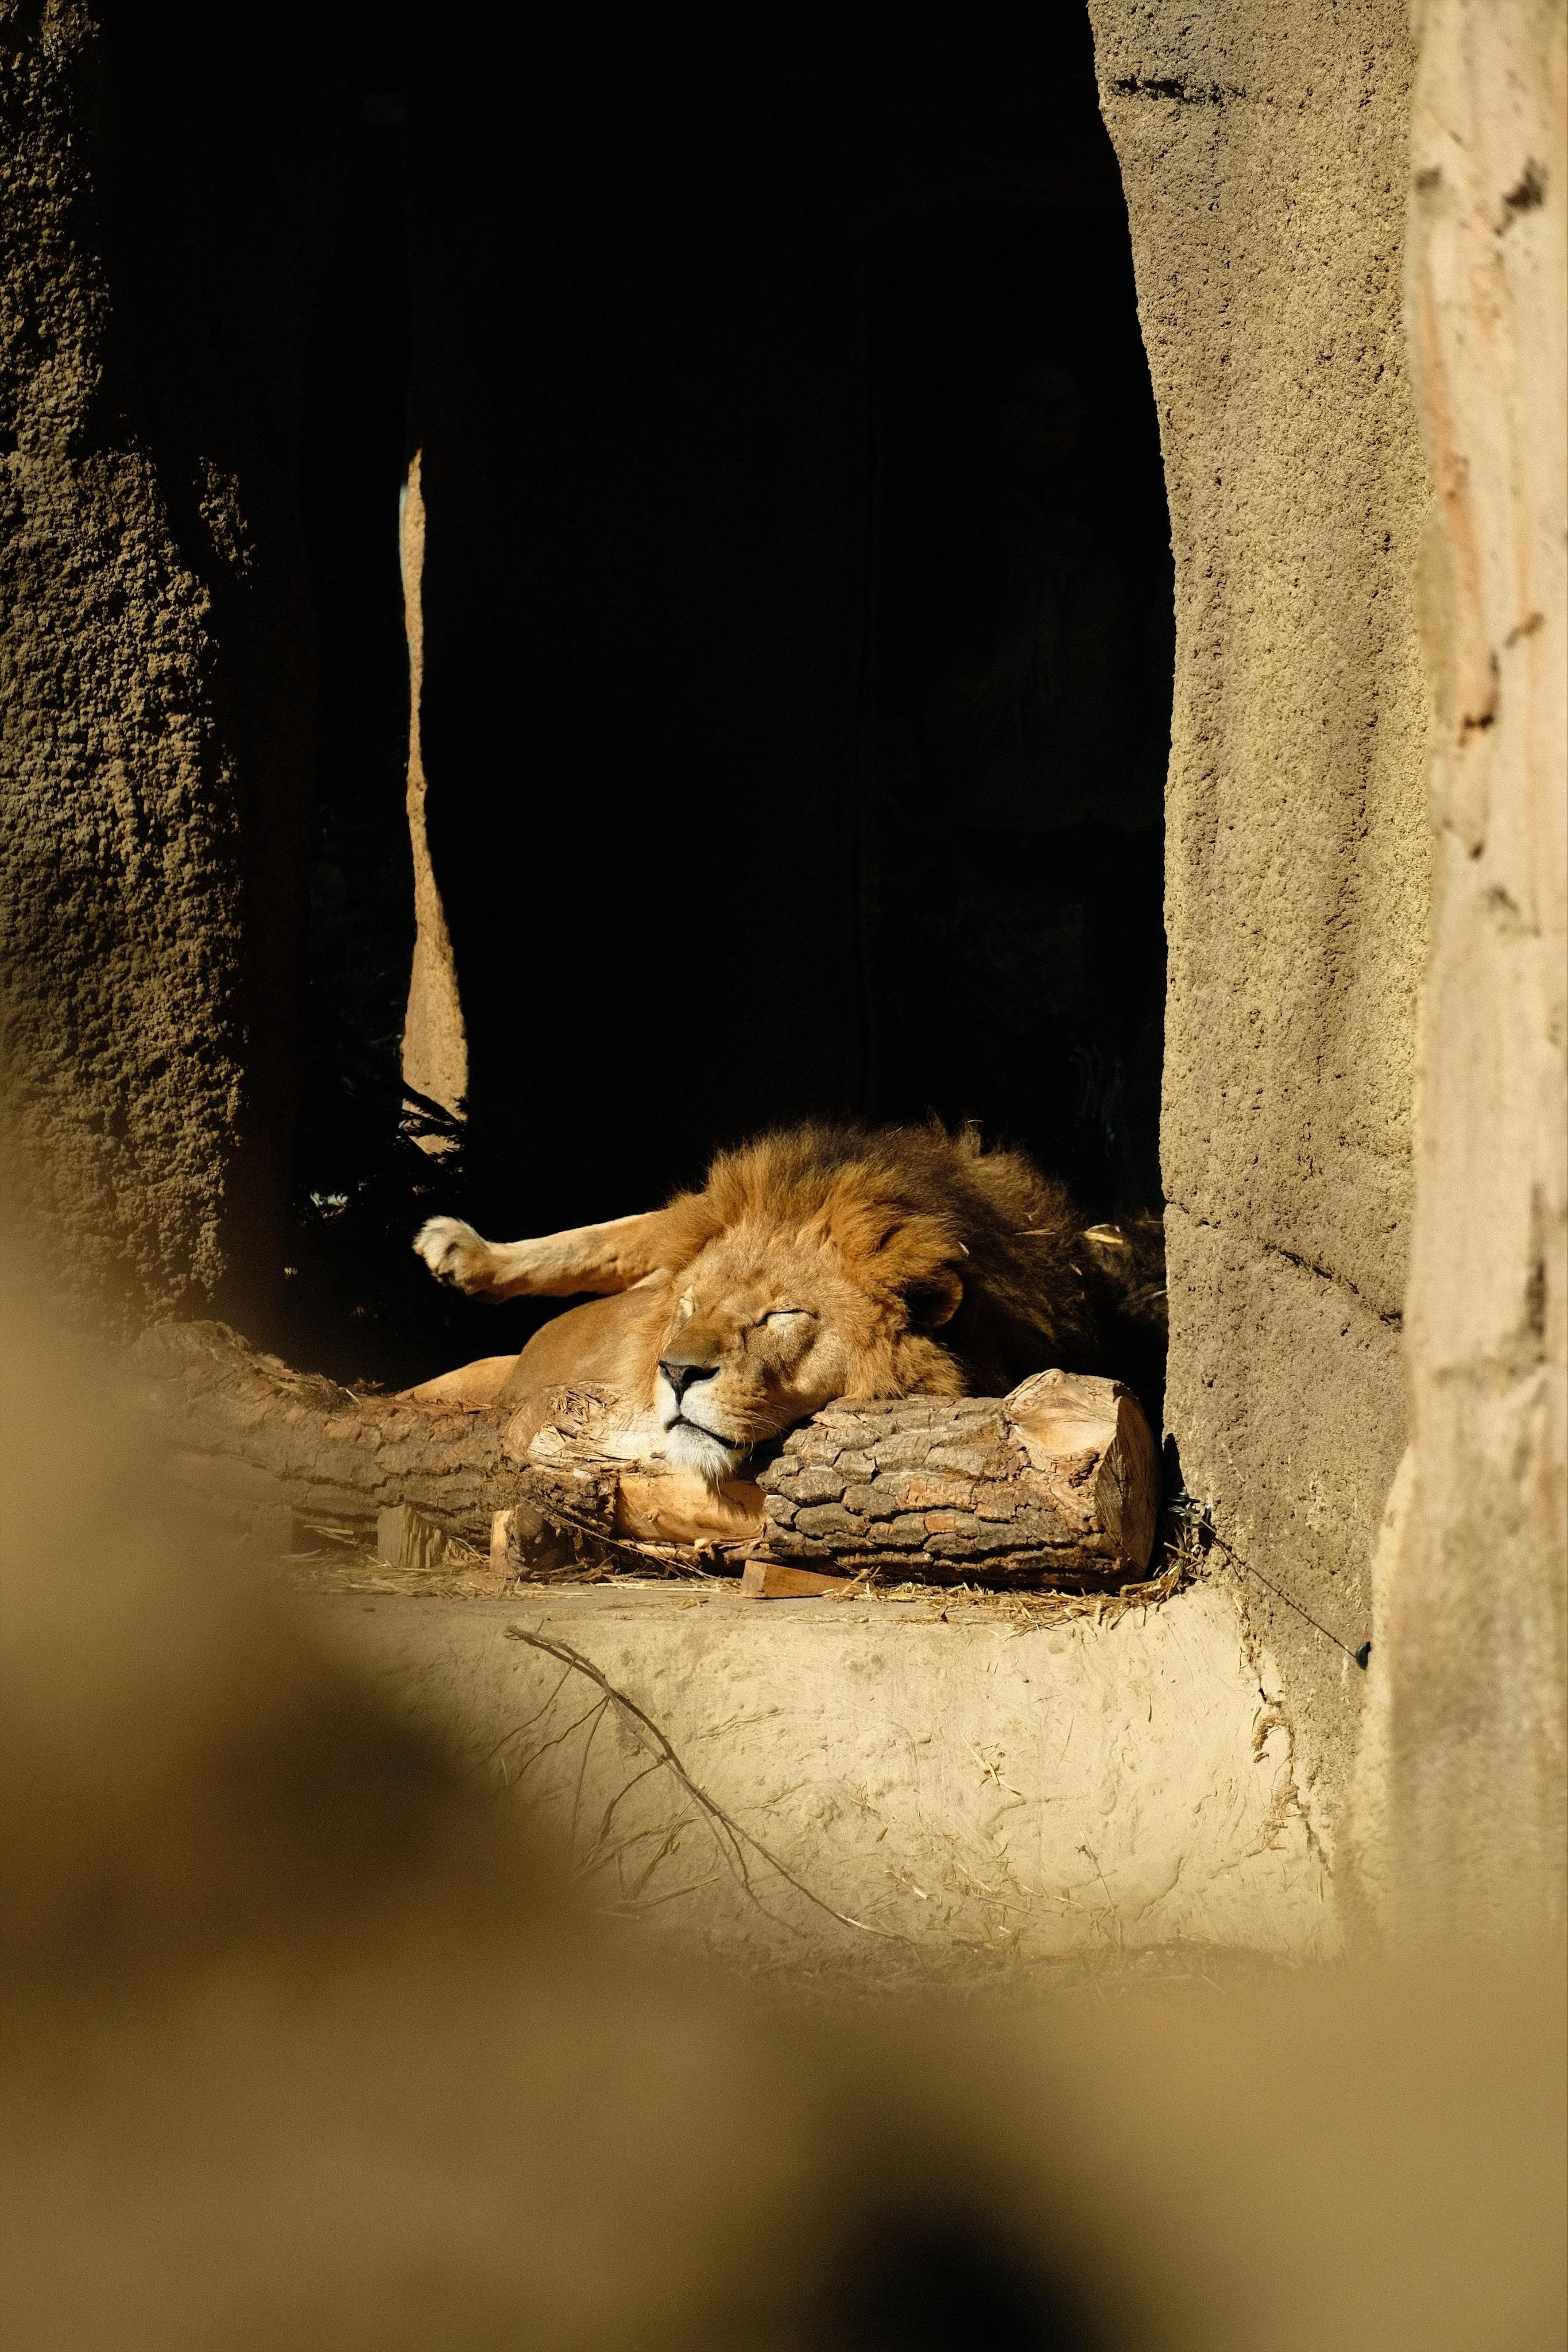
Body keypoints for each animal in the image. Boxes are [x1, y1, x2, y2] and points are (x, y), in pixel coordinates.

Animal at [410, 1122, 1164, 1483]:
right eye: (690, 1307)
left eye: (780, 1316)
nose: (675, 1372)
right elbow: (607, 1236)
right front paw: (465, 1253)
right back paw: (460, 1252)